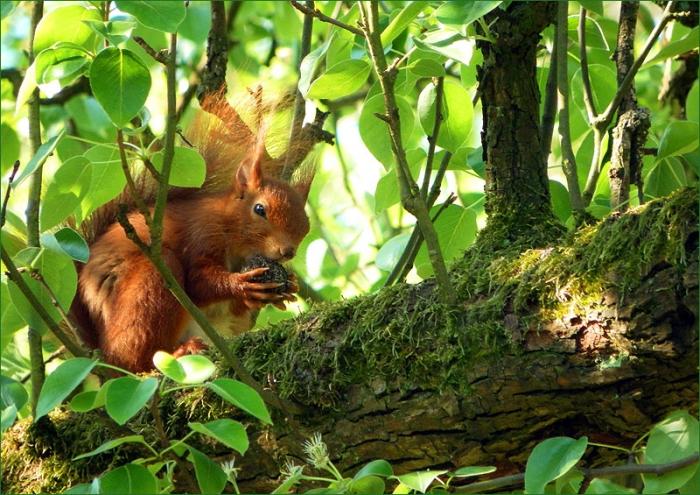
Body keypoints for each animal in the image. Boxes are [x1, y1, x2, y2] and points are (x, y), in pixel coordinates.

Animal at [69, 91, 322, 373]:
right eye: (259, 209)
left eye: (306, 225)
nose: (287, 251)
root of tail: (104, 356)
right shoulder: (200, 234)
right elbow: (199, 281)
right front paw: (240, 284)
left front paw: (288, 285)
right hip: (148, 290)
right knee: (136, 360)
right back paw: (177, 352)